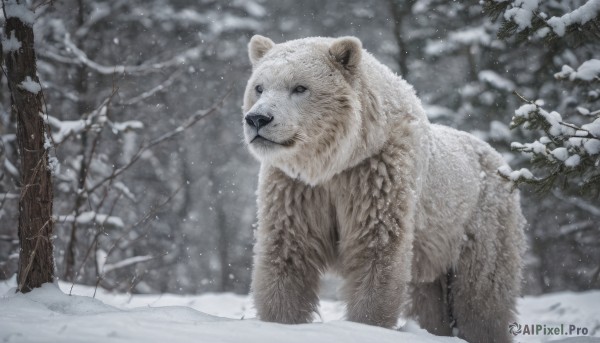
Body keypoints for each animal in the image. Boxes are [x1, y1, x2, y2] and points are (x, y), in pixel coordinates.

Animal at [243, 35, 524, 343]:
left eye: (300, 87)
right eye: (259, 87)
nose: (258, 119)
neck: (337, 161)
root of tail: (502, 162)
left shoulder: (377, 174)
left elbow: (376, 251)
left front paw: (368, 325)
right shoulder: (297, 189)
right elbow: (288, 252)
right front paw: (279, 322)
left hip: (482, 221)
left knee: (481, 295)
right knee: (430, 300)